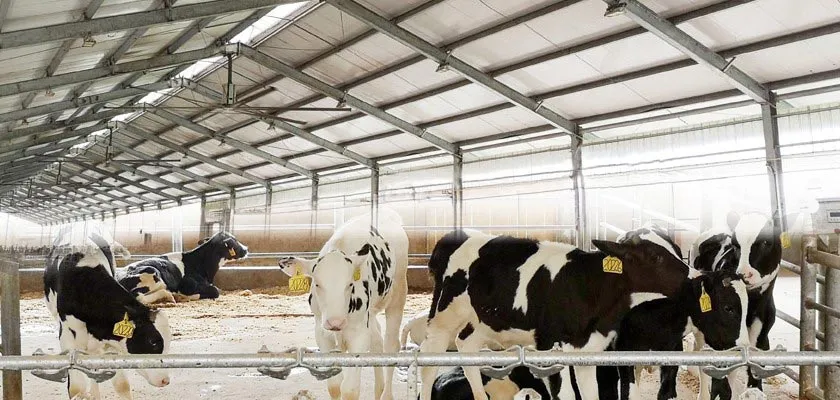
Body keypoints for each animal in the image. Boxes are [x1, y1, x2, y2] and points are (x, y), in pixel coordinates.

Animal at [118, 231, 249, 304]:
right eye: (235, 241)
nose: (246, 249)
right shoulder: (188, 284)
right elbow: (215, 291)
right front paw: (183, 296)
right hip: (152, 272)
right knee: (139, 297)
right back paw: (170, 296)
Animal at [280, 209, 408, 400]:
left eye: (349, 284)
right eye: (317, 284)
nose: (335, 322)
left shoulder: (359, 334)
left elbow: (349, 389)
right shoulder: (322, 333)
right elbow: (334, 386)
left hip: (398, 294)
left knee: (391, 345)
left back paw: (386, 394)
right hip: (371, 313)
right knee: (377, 340)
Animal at [418, 230, 688, 398]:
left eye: (675, 249)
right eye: (655, 256)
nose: (689, 274)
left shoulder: (587, 349)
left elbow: (590, 394)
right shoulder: (551, 347)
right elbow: (566, 394)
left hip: (485, 320)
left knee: (466, 345)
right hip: (444, 315)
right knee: (429, 361)